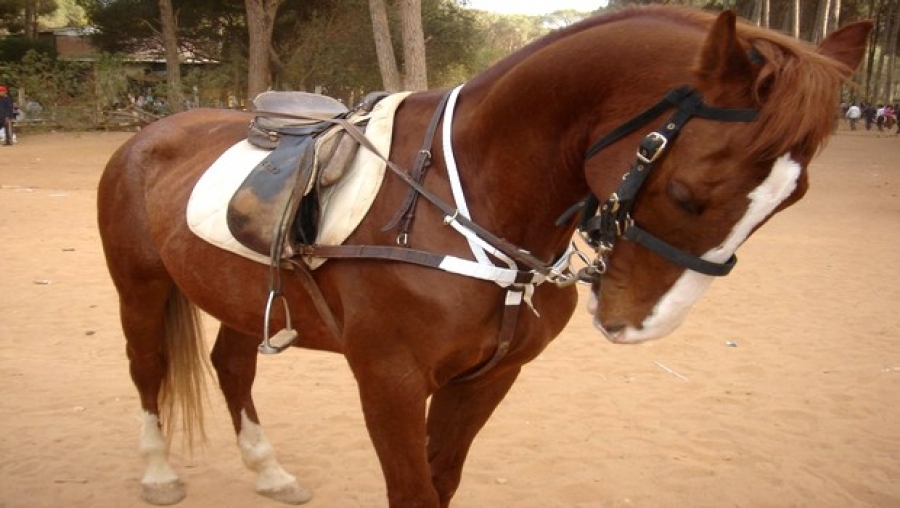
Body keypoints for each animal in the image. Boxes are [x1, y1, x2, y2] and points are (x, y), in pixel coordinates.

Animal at [97, 6, 870, 507]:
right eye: (688, 192)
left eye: (789, 201)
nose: (637, 323)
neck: (464, 198)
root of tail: (152, 132)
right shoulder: (390, 381)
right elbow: (413, 491)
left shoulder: (487, 380)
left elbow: (442, 484)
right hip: (140, 290)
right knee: (148, 370)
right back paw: (158, 475)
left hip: (239, 294)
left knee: (231, 367)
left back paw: (268, 472)